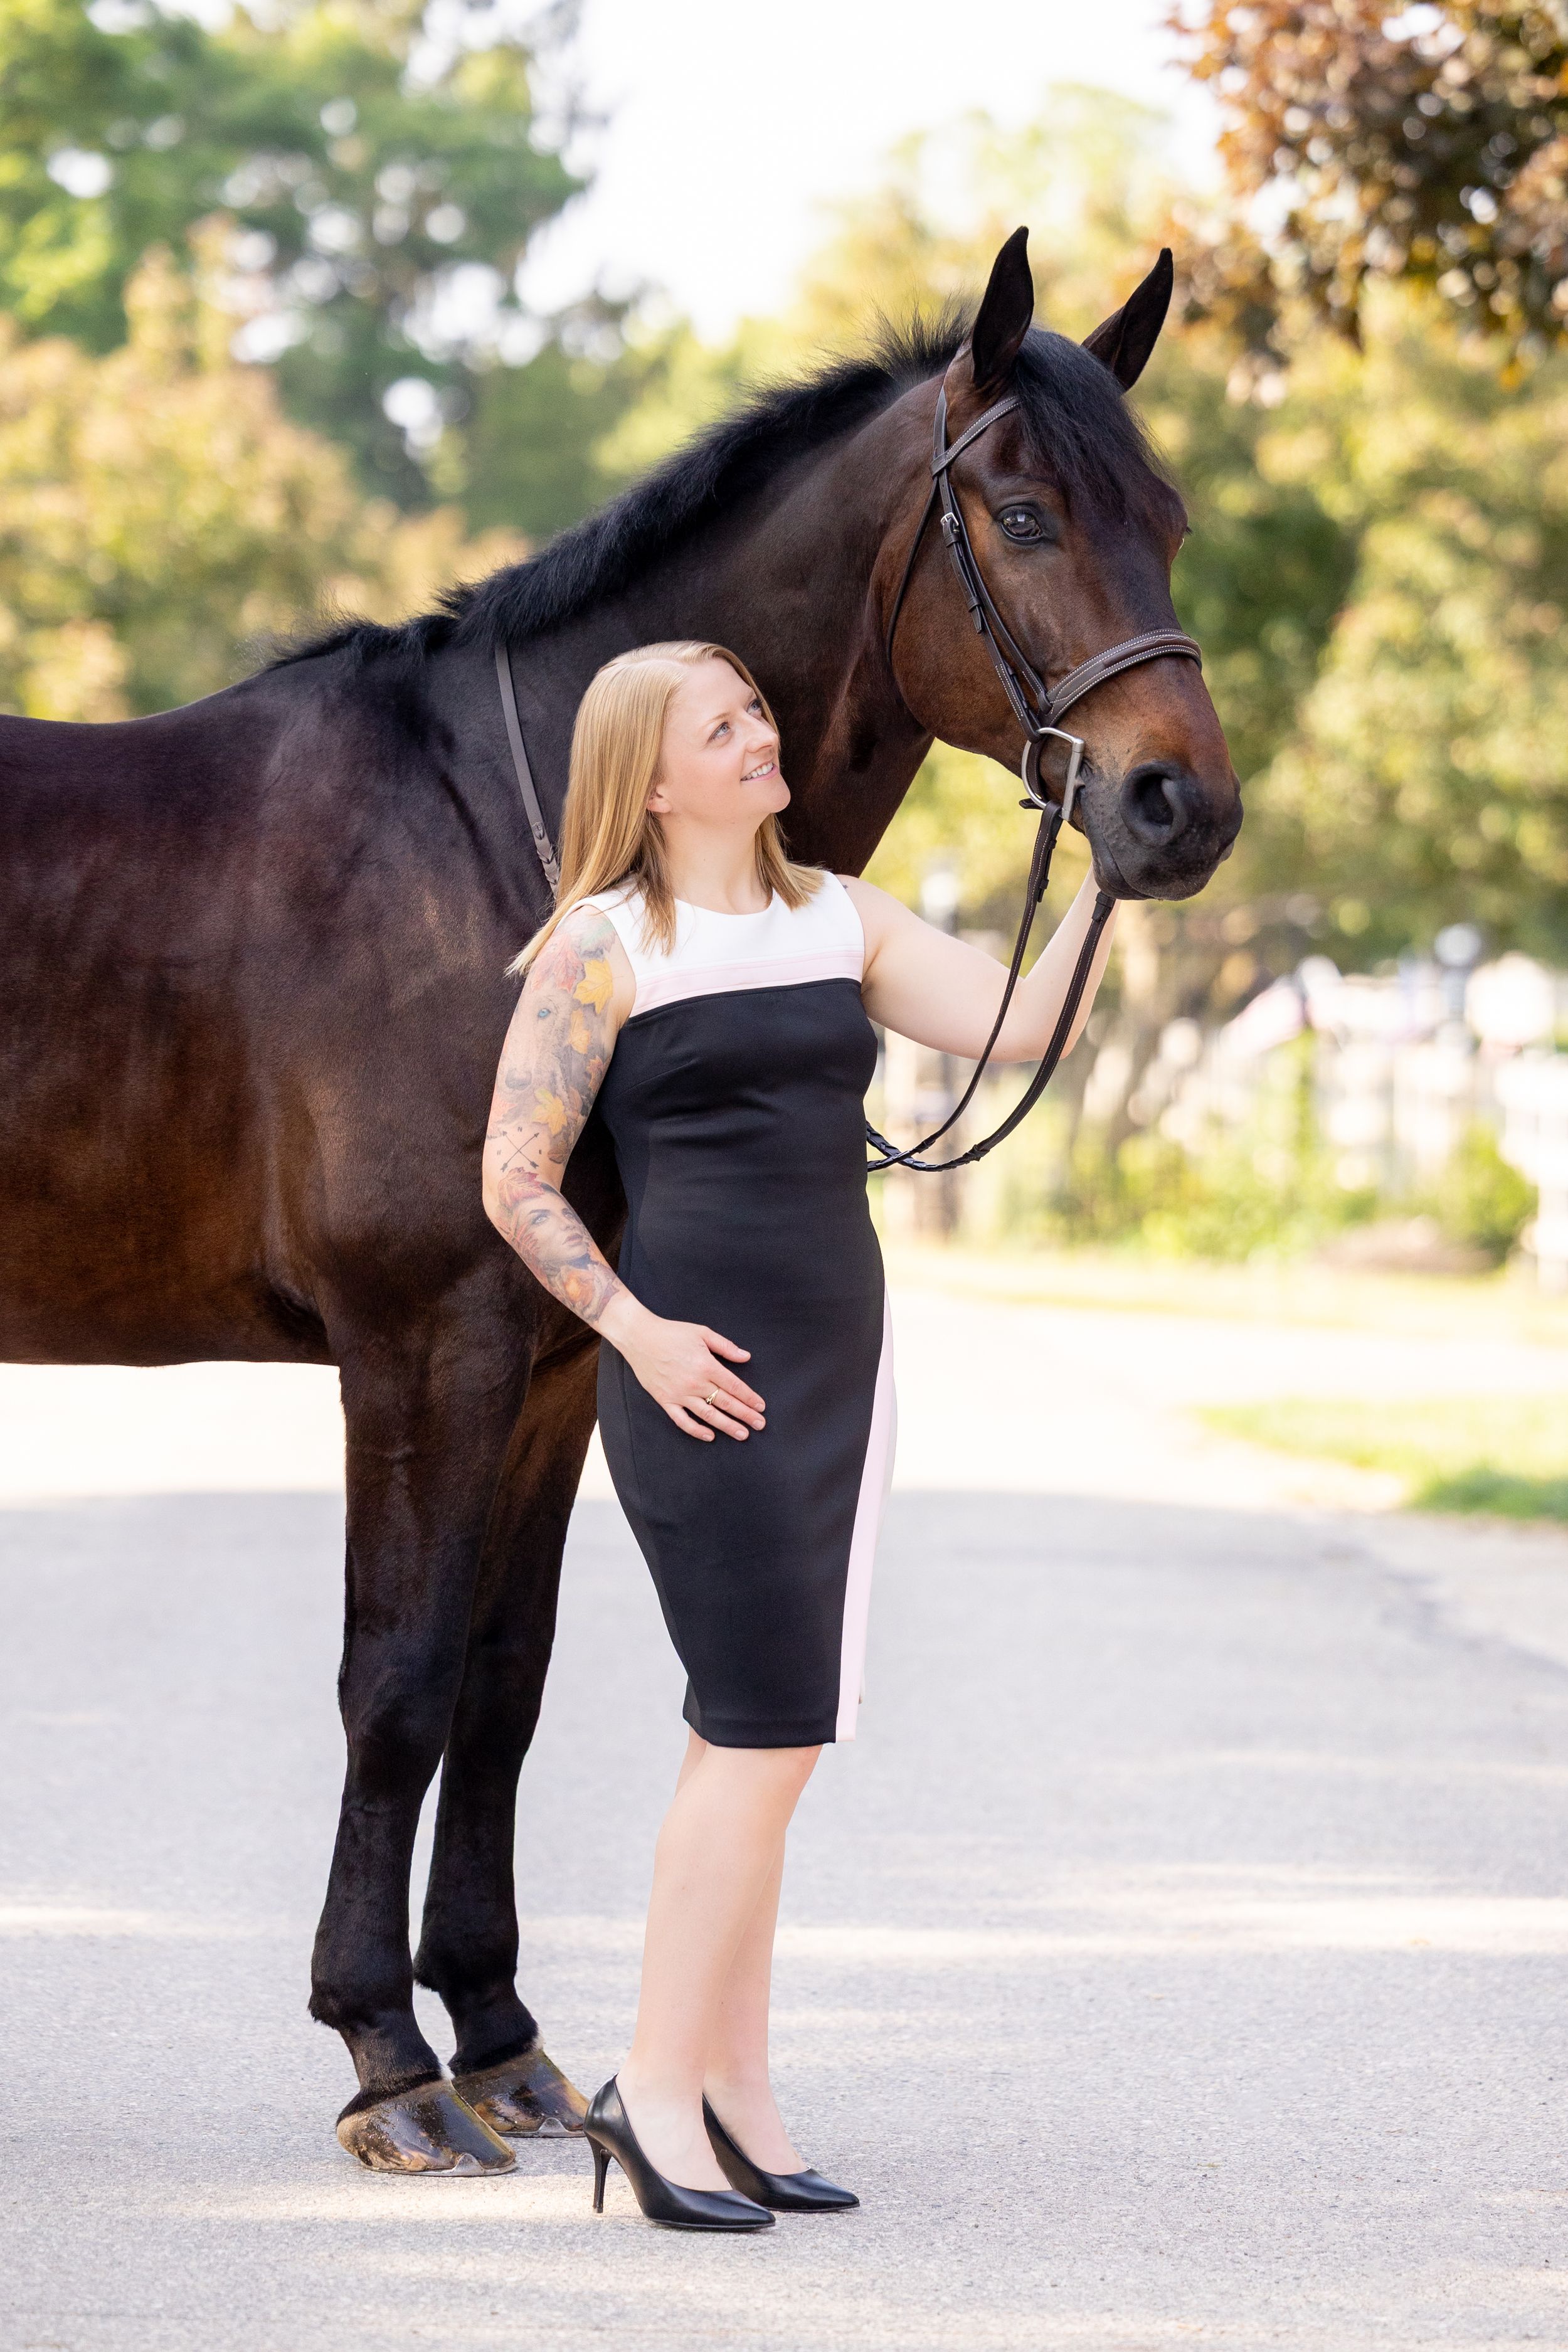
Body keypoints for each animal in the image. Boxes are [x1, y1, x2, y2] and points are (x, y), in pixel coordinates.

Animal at [0, 230, 1239, 2170]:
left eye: (1170, 518)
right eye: (1029, 514)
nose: (1180, 806)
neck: (515, 855)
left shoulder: (565, 1363)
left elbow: (500, 1690)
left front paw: (498, 2038)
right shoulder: (423, 1347)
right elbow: (396, 1682)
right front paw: (386, 2059)